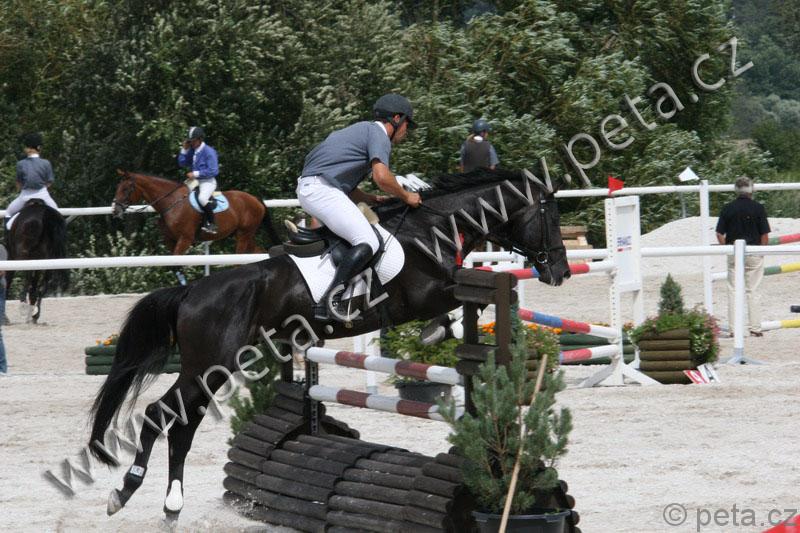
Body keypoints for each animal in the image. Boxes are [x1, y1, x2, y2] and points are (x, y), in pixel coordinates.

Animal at [112, 169, 280, 255]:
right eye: (118, 187)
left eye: (125, 189)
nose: (115, 210)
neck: (172, 202)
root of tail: (255, 199)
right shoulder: (170, 240)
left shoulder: (185, 239)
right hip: (245, 235)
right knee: (259, 252)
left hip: (243, 235)